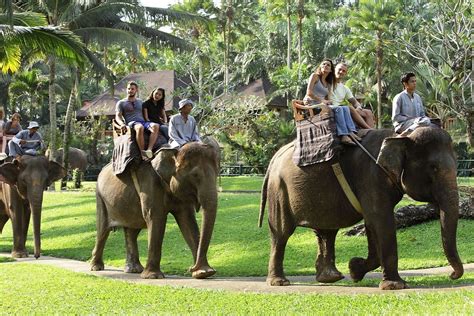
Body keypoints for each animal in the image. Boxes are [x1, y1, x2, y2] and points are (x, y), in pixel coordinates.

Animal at [90, 141, 219, 278]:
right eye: (195, 175)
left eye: (217, 173)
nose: (191, 268)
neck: (173, 152)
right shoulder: (150, 184)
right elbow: (156, 218)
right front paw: (153, 276)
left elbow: (188, 221)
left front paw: (204, 273)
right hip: (100, 197)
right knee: (103, 230)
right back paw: (96, 267)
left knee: (132, 231)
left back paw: (134, 269)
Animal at [260, 127, 462, 290]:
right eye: (433, 168)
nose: (451, 275)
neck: (400, 136)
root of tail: (274, 157)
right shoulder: (370, 177)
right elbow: (381, 221)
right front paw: (395, 286)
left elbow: (372, 224)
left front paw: (355, 270)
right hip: (279, 191)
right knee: (281, 233)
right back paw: (280, 282)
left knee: (326, 231)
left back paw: (330, 278)